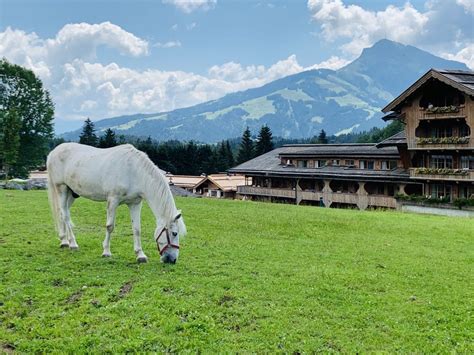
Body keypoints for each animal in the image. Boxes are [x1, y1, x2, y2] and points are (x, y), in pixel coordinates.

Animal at [46, 143, 186, 264]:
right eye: (174, 233)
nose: (172, 259)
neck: (133, 171)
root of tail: (54, 152)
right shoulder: (113, 200)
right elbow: (110, 226)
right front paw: (106, 252)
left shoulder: (135, 203)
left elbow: (137, 229)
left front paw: (140, 255)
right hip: (62, 188)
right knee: (65, 215)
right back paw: (73, 243)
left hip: (72, 193)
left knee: (61, 213)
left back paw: (64, 241)